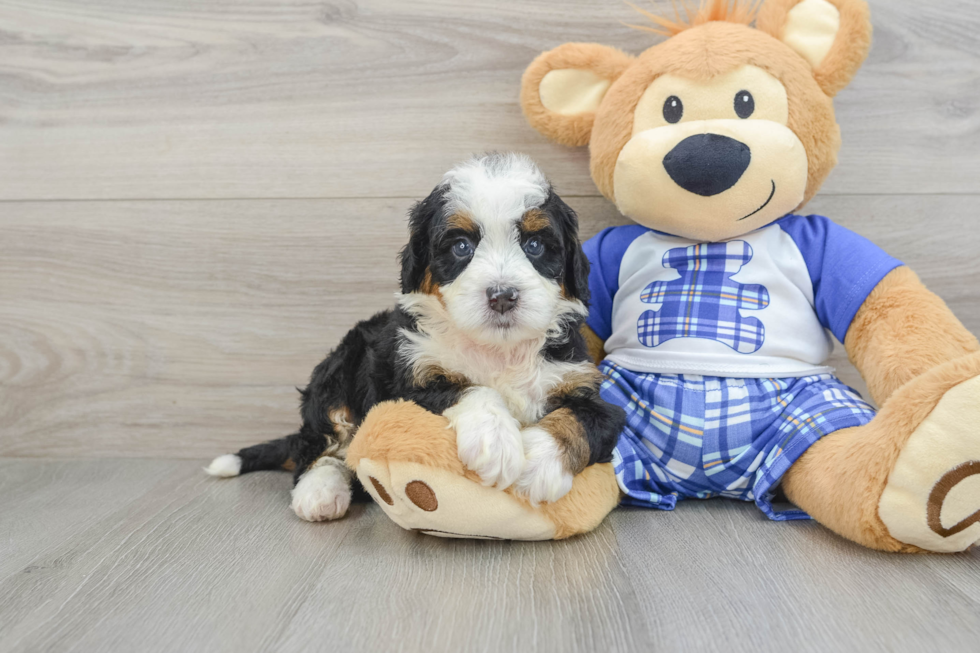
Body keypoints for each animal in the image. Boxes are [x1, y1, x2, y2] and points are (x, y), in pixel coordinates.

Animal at [205, 152, 628, 520]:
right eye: (462, 246)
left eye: (535, 245)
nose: (503, 295)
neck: (498, 351)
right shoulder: (404, 382)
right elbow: (469, 388)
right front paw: (496, 442)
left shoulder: (586, 388)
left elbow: (582, 419)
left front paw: (537, 467)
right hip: (338, 368)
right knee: (321, 444)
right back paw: (320, 491)